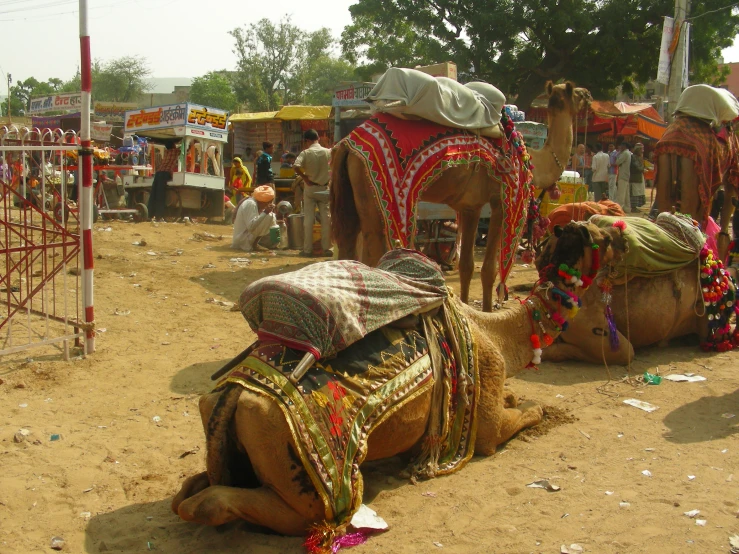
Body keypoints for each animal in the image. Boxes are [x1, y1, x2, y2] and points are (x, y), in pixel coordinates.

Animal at [332, 81, 592, 310]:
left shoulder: (470, 206)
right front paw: (487, 311)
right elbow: (488, 270)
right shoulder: (502, 201)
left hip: (350, 196)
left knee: (348, 246)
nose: (589, 95)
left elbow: (466, 266)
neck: (531, 158)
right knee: (373, 251)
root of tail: (348, 143)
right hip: (379, 196)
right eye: (578, 93)